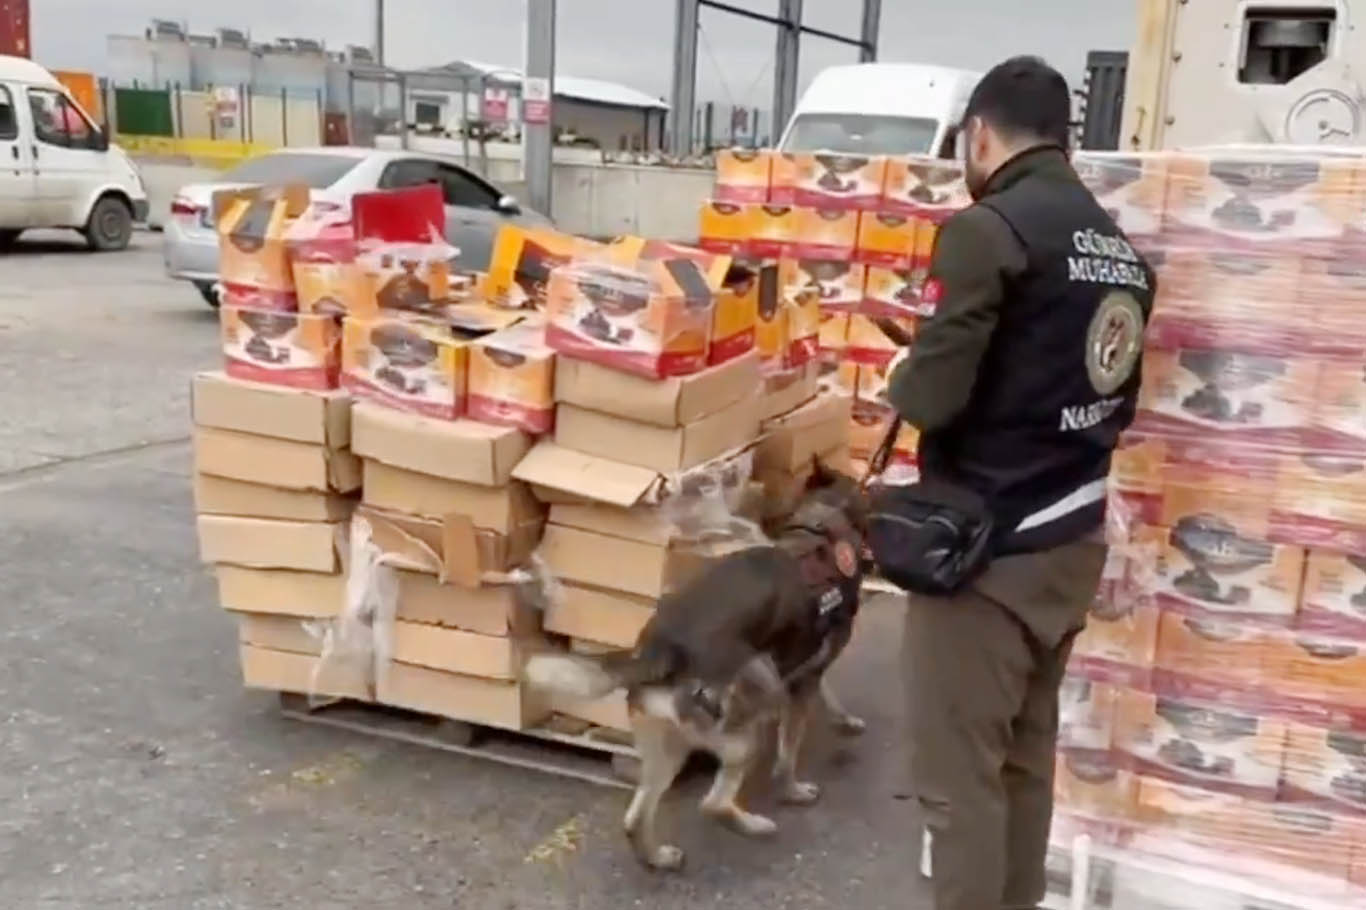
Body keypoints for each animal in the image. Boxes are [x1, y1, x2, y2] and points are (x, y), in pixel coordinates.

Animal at [521, 464, 863, 869]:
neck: (819, 525)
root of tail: (659, 651)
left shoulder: (806, 671)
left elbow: (829, 693)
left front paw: (845, 719)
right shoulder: (803, 681)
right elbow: (788, 754)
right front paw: (793, 789)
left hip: (667, 749)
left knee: (635, 819)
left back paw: (659, 859)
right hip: (758, 696)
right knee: (712, 805)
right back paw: (754, 826)